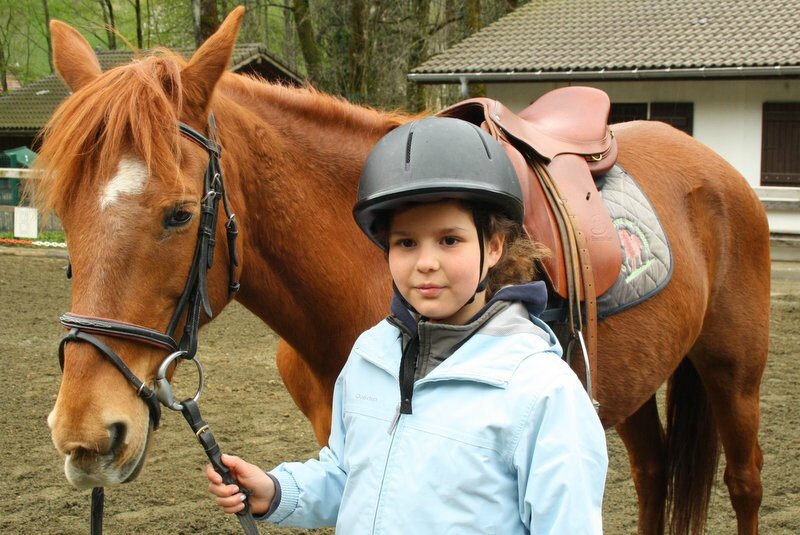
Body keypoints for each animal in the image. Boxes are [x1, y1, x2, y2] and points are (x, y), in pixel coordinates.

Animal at [37, 7, 768, 535]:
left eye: (180, 214)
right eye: (65, 210)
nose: (84, 437)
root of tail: (716, 166)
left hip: (733, 371)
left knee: (745, 482)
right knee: (653, 472)